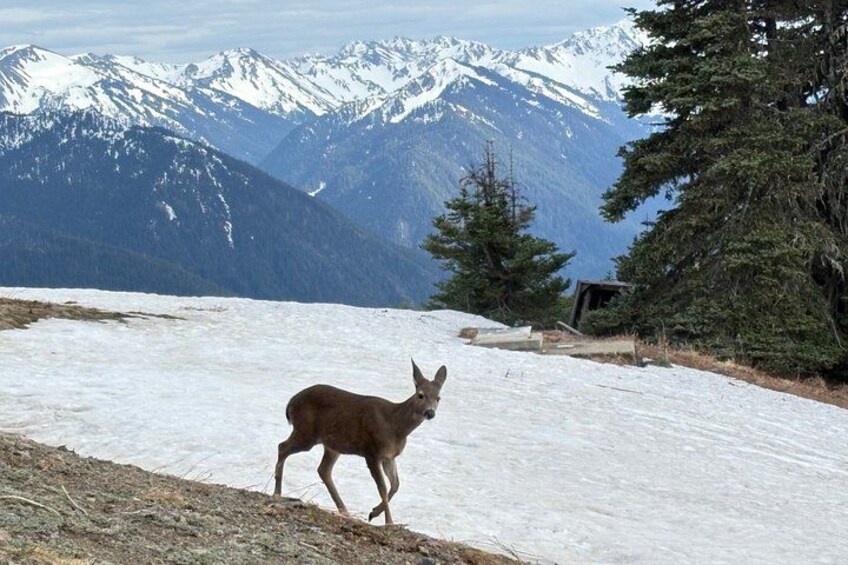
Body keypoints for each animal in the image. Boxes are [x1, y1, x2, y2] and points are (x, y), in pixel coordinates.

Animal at [272, 360, 446, 525]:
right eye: (421, 395)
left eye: (438, 398)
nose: (430, 413)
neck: (395, 428)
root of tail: (290, 402)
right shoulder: (371, 452)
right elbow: (382, 488)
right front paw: (388, 522)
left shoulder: (389, 457)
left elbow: (396, 485)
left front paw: (374, 512)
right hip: (307, 433)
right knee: (282, 447)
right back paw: (277, 493)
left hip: (332, 445)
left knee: (323, 469)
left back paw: (344, 511)